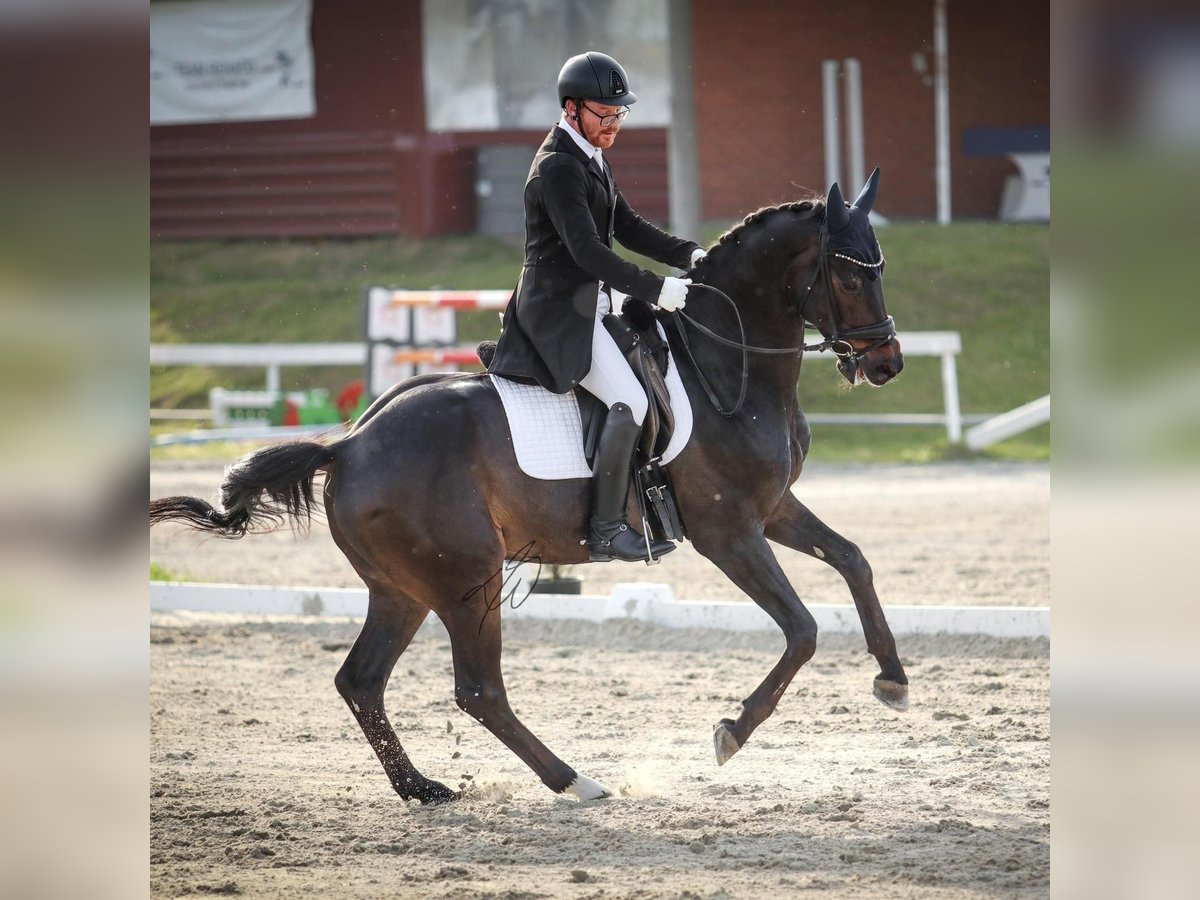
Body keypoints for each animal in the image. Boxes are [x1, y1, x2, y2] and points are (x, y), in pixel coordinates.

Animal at [154, 172, 912, 806]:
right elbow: (803, 629)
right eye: (849, 280)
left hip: (403, 587)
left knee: (362, 680)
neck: (726, 363)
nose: (886, 364)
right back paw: (575, 782)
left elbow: (854, 561)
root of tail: (348, 442)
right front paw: (732, 731)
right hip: (467, 577)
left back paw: (423, 789)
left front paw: (893, 679)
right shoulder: (727, 532)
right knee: (478, 690)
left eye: (880, 270)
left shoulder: (773, 508)